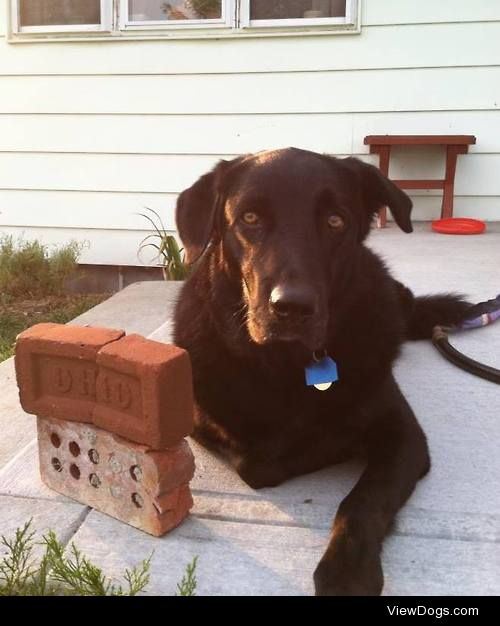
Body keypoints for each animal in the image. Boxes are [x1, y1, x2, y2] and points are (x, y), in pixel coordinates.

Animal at [172, 147, 468, 596]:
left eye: (335, 221)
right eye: (250, 218)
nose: (292, 307)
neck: (287, 366)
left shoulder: (404, 434)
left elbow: (364, 497)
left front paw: (347, 571)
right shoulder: (200, 420)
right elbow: (259, 463)